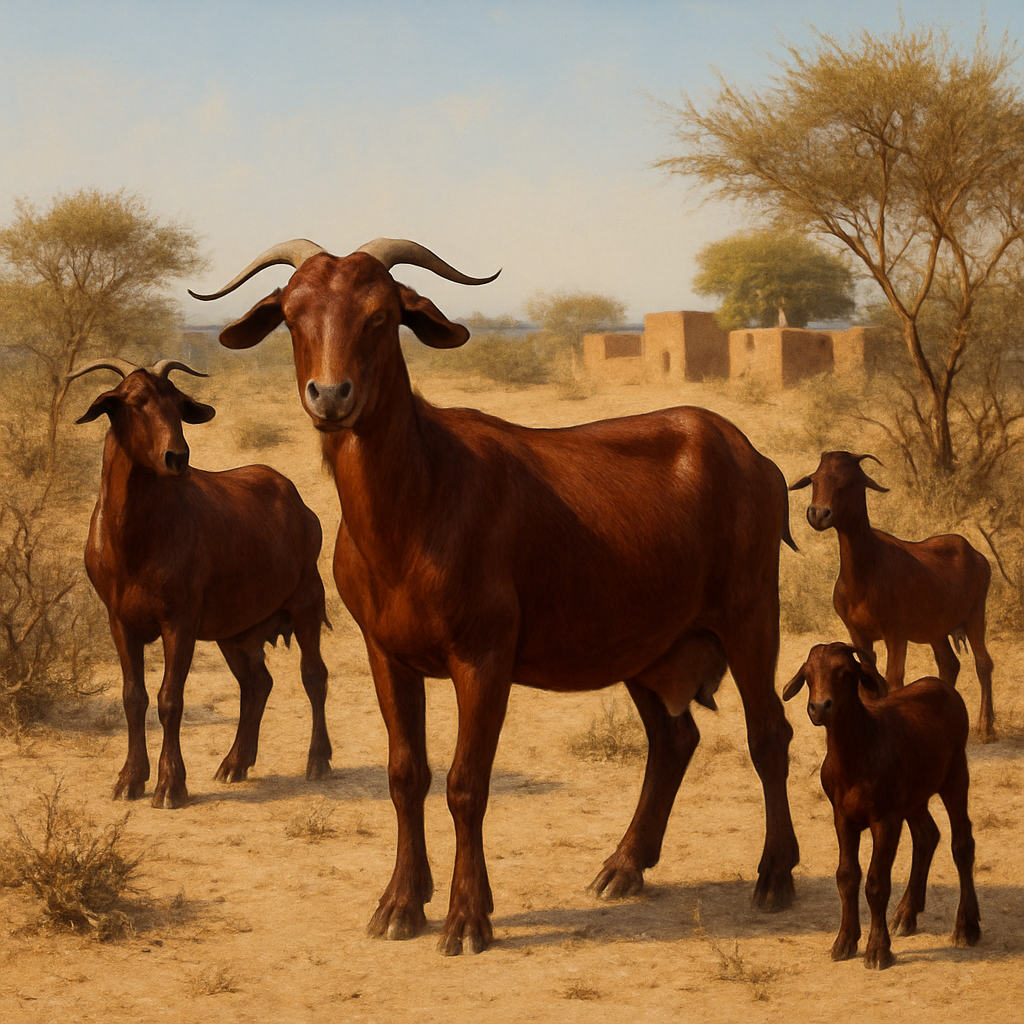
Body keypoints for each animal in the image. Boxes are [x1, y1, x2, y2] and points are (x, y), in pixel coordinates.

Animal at [71, 358, 332, 808]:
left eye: (177, 403)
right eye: (134, 402)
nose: (176, 456)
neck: (134, 540)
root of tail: (300, 507)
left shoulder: (180, 622)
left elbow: (169, 699)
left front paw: (170, 785)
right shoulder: (119, 622)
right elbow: (133, 697)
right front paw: (129, 779)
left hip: (307, 604)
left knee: (314, 675)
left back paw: (317, 761)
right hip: (236, 633)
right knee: (257, 683)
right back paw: (235, 764)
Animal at [190, 237, 800, 955]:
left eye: (380, 315)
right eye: (292, 316)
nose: (331, 394)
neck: (415, 505)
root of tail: (753, 458)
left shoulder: (482, 660)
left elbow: (466, 784)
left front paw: (466, 917)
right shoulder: (387, 656)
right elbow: (406, 776)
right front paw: (400, 903)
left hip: (751, 616)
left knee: (769, 734)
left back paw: (774, 876)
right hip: (647, 647)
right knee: (673, 741)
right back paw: (624, 866)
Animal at [784, 642, 980, 968]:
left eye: (845, 672)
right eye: (808, 673)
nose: (820, 707)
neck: (859, 751)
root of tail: (938, 684)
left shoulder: (885, 818)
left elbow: (876, 883)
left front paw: (877, 950)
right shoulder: (842, 817)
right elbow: (847, 876)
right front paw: (844, 941)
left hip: (955, 771)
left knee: (962, 843)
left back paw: (967, 926)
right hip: (914, 795)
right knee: (927, 835)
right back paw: (906, 914)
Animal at [790, 451, 995, 741]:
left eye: (849, 482)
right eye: (815, 479)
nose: (818, 513)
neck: (867, 570)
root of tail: (975, 554)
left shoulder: (895, 635)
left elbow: (894, 679)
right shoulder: (859, 635)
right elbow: (869, 680)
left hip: (976, 616)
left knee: (983, 663)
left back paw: (986, 728)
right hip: (937, 632)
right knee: (949, 664)